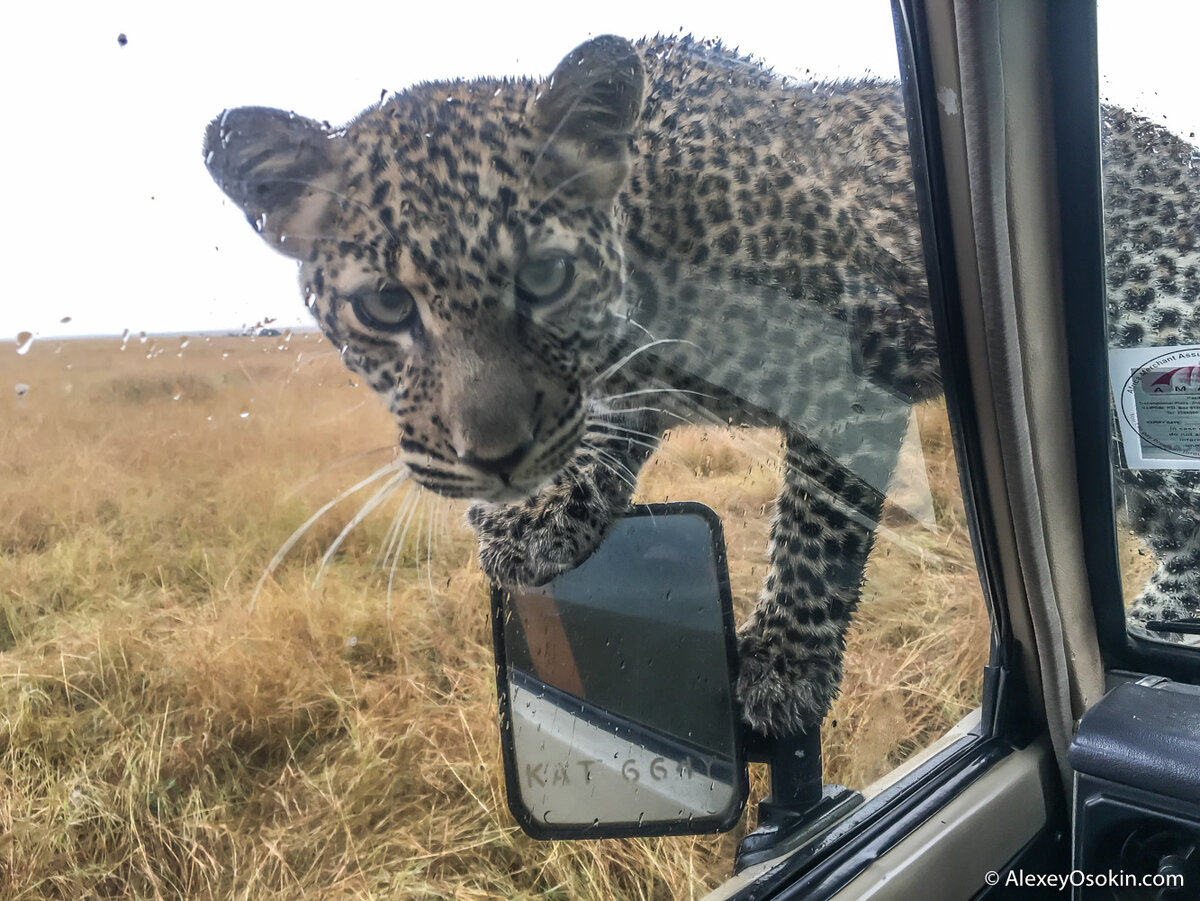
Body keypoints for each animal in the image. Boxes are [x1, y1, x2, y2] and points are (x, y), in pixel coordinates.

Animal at [204, 35, 1200, 739]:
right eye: (384, 304)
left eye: (543, 277)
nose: (494, 460)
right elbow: (606, 427)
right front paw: (544, 513)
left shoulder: (856, 359)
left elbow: (815, 522)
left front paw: (782, 667)